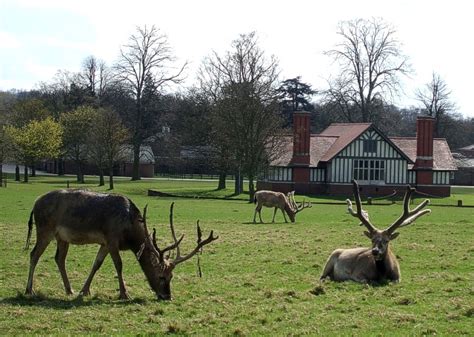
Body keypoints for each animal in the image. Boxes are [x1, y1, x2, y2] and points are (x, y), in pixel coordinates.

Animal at [25, 189, 218, 300]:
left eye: (172, 277)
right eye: (161, 276)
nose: (167, 296)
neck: (129, 232)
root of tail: (35, 203)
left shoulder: (104, 243)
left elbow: (96, 264)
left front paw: (84, 291)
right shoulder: (112, 239)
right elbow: (119, 265)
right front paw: (124, 293)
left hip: (62, 237)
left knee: (59, 258)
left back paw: (69, 290)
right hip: (44, 229)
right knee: (34, 254)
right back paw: (29, 290)